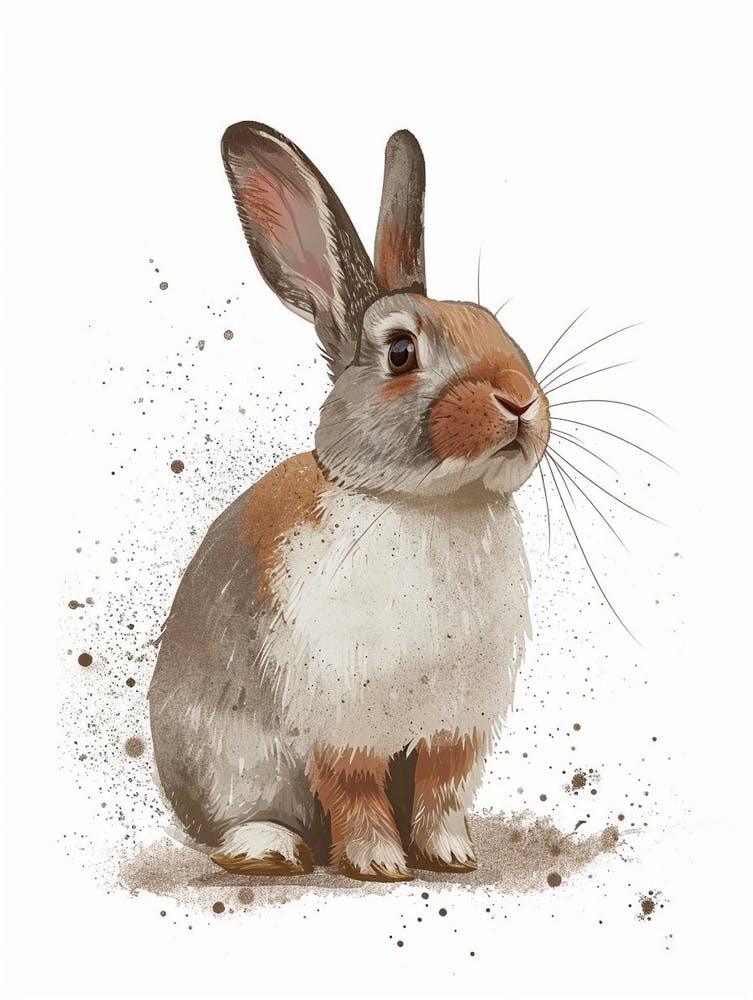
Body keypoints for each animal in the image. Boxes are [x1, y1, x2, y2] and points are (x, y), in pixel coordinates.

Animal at [148, 122, 551, 882]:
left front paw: (451, 856)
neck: (426, 505)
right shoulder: (340, 718)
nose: (518, 400)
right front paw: (378, 865)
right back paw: (270, 849)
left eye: (493, 325)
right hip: (231, 763)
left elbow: (441, 791)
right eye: (399, 352)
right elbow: (354, 789)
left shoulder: (453, 727)